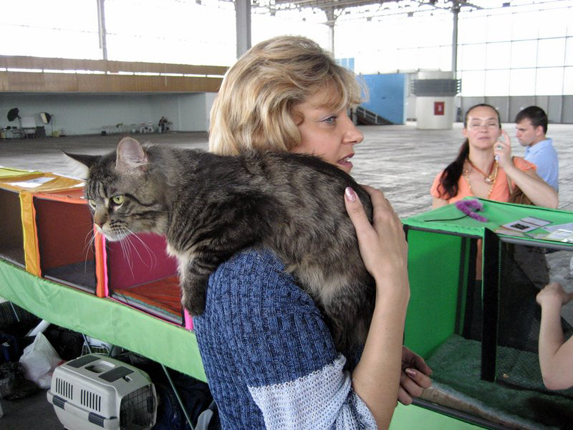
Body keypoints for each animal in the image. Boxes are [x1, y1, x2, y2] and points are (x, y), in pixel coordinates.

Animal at [66, 136, 375, 353]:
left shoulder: (248, 212)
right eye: (91, 203)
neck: (179, 197)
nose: (98, 224)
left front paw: (191, 304)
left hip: (337, 288)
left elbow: (197, 260)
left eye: (117, 200)